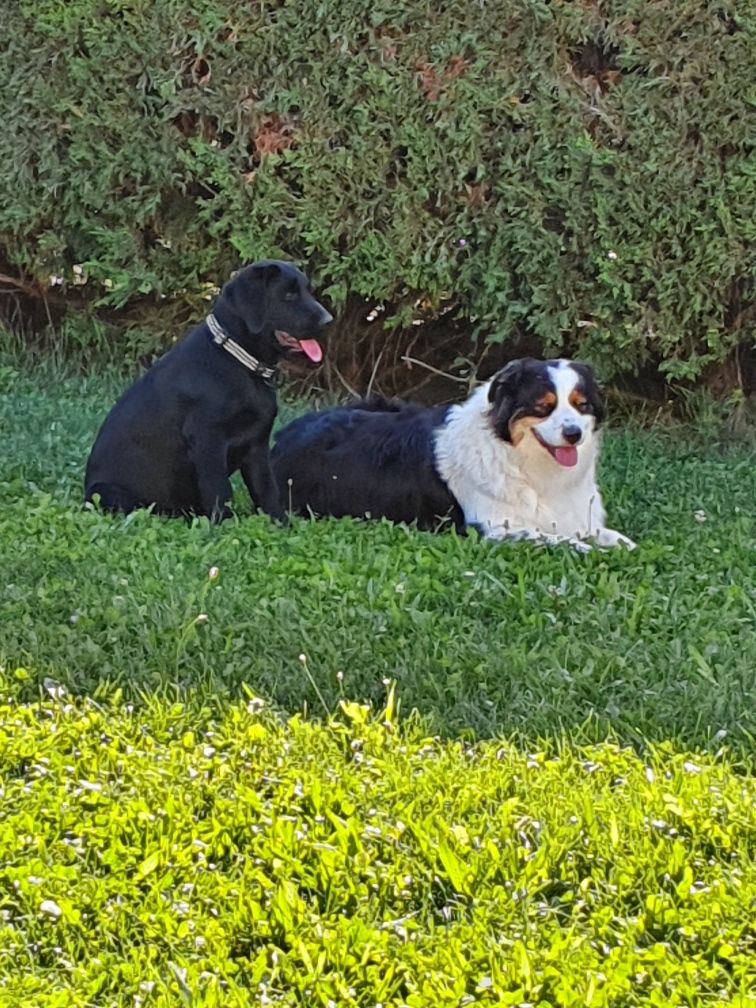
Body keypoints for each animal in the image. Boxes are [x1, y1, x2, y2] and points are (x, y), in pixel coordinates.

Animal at [85, 262, 330, 520]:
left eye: (307, 290)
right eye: (289, 295)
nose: (328, 320)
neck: (239, 361)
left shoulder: (256, 445)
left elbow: (267, 490)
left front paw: (280, 522)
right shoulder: (208, 440)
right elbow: (219, 491)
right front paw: (225, 524)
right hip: (108, 492)